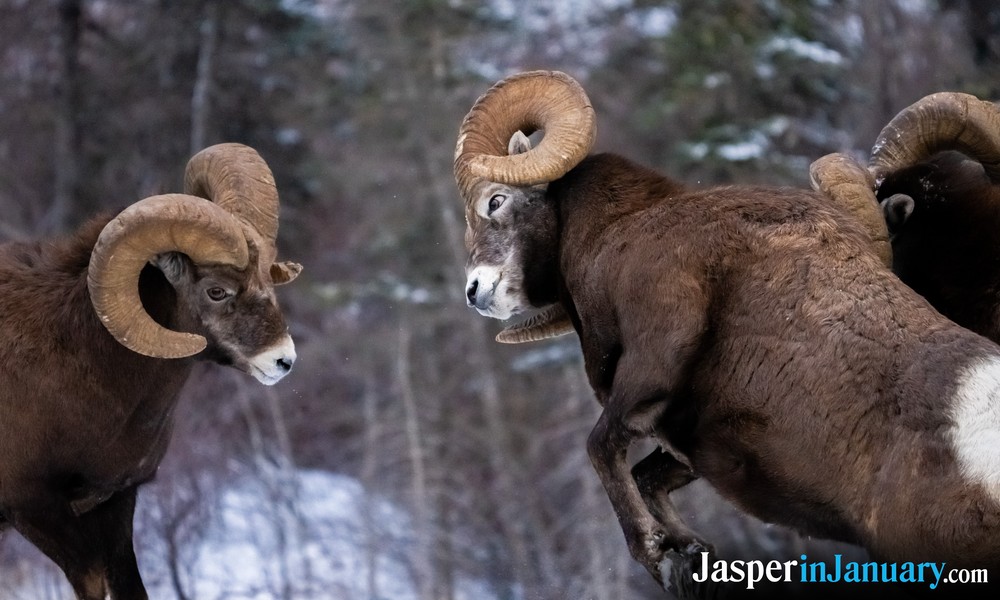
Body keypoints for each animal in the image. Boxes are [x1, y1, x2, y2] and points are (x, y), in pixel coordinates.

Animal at [455, 71, 1000, 594]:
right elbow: (647, 475)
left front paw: (658, 553)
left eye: (496, 201)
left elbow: (602, 448)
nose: (474, 291)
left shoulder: (652, 364)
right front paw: (693, 553)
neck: (617, 229)